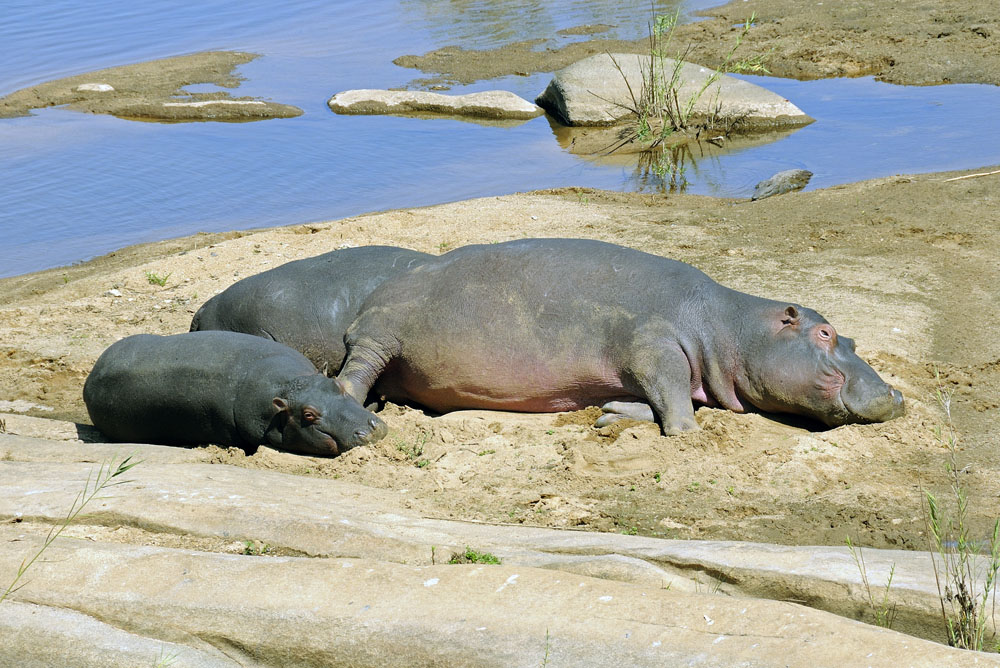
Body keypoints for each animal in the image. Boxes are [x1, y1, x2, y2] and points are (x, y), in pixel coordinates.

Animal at [336, 238, 904, 435]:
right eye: (825, 332)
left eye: (853, 341)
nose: (896, 394)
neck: (731, 325)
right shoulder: (653, 345)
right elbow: (676, 403)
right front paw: (683, 433)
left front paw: (609, 414)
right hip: (380, 336)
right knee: (355, 373)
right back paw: (352, 402)